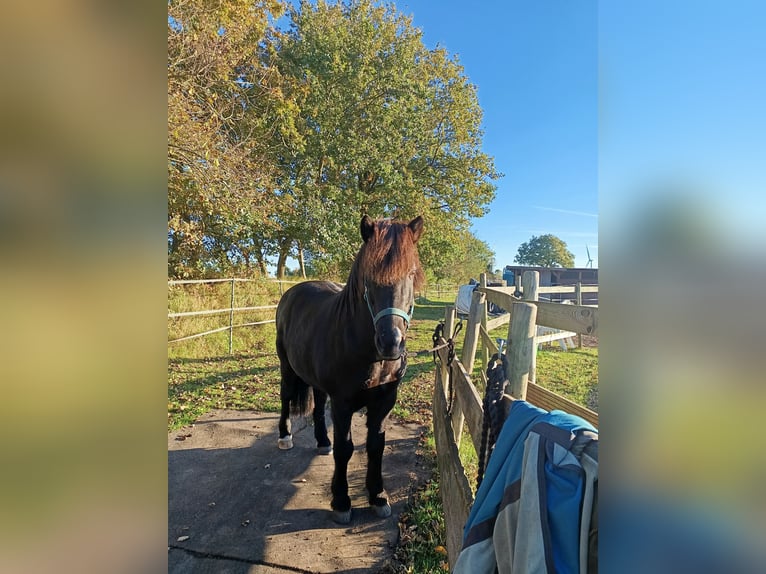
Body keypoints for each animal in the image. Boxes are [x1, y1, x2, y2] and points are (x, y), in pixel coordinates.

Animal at [275, 215, 424, 524]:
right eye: (369, 278)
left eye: (411, 274)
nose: (391, 343)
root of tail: (293, 292)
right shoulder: (343, 404)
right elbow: (345, 449)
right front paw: (342, 501)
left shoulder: (384, 402)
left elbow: (376, 445)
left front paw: (378, 496)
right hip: (286, 367)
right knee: (285, 397)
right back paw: (285, 437)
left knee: (318, 406)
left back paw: (322, 441)